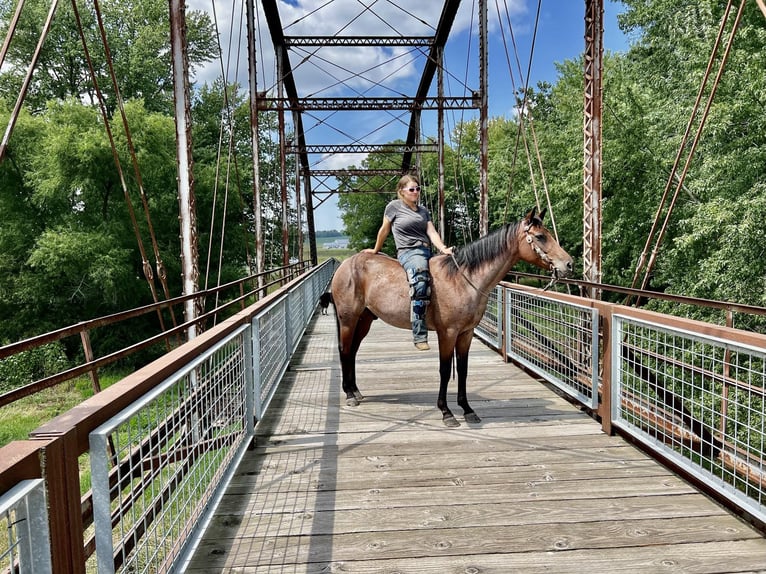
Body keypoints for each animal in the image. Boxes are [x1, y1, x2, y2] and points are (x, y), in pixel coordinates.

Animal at [332, 207, 576, 428]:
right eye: (540, 236)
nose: (569, 264)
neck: (463, 279)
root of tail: (346, 265)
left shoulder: (465, 333)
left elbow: (463, 370)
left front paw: (467, 410)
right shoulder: (447, 333)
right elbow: (444, 370)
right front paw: (446, 412)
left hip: (364, 319)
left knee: (352, 351)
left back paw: (356, 390)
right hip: (348, 319)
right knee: (345, 350)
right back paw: (350, 395)